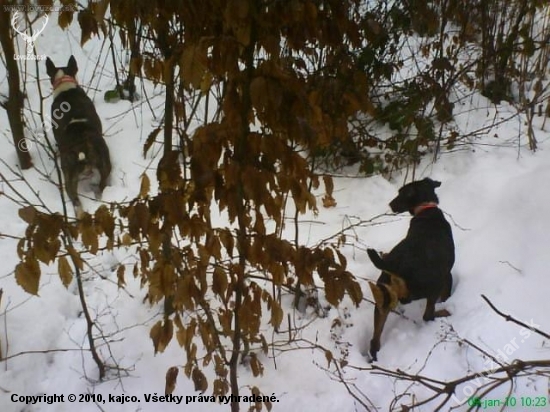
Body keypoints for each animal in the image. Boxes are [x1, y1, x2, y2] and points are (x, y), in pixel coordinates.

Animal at [368, 177, 454, 360]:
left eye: (400, 194)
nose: (390, 204)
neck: (426, 210)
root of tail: (395, 266)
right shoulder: (447, 274)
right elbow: (446, 294)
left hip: (382, 302)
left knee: (374, 341)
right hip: (432, 286)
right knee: (428, 315)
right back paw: (444, 313)